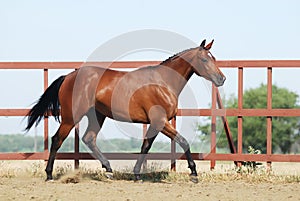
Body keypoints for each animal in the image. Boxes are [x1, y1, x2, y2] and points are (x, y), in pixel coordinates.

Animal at [25, 38, 225, 182]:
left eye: (214, 58)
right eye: (204, 59)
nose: (221, 79)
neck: (163, 82)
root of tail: (68, 76)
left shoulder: (154, 124)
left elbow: (145, 146)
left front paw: (137, 174)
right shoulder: (160, 122)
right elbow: (183, 141)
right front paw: (194, 173)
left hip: (97, 116)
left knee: (89, 138)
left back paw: (108, 170)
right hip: (70, 117)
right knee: (57, 139)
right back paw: (49, 175)